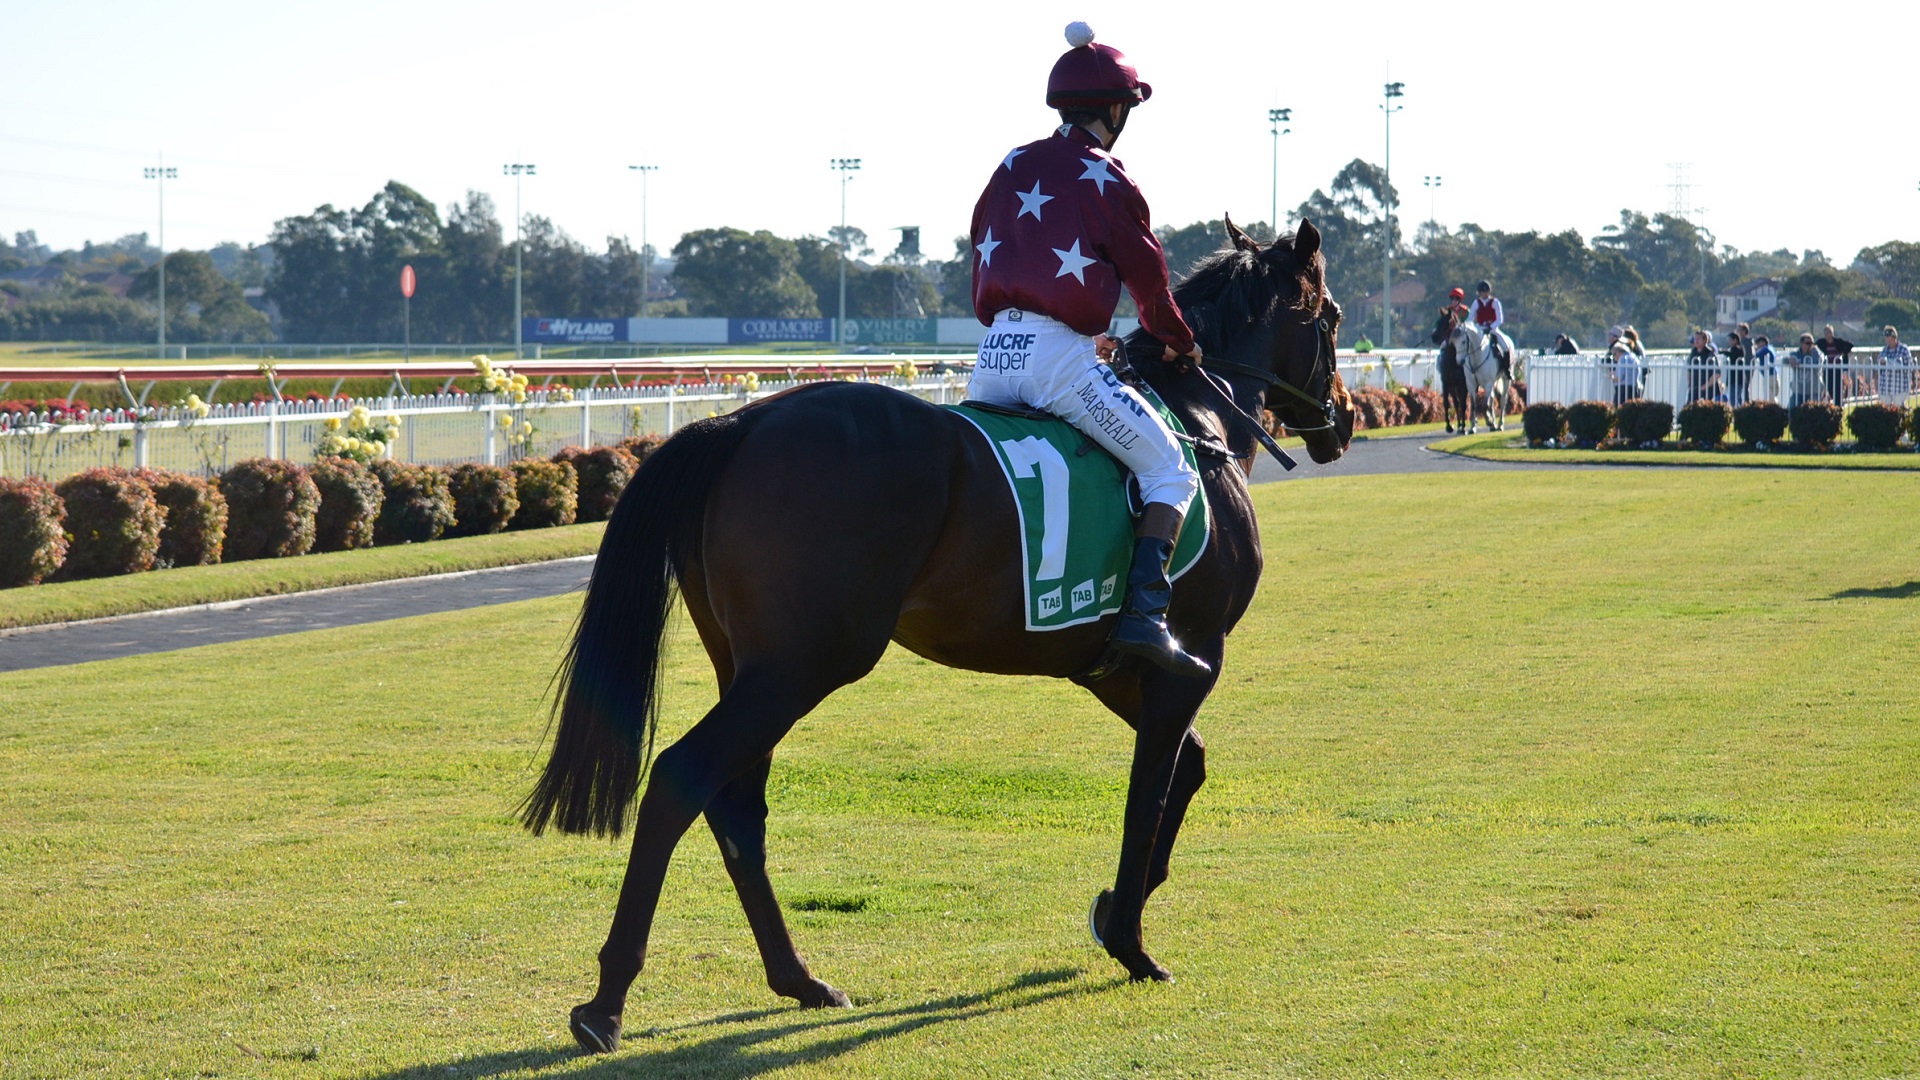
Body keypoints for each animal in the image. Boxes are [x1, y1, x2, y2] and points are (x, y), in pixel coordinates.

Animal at [518, 214, 1344, 1045]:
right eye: (1333, 318)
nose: (1338, 419)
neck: (1198, 427)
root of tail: (741, 420)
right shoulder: (1192, 657)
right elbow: (1148, 799)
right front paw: (1131, 943)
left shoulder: (1116, 667)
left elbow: (1187, 770)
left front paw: (1118, 906)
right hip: (800, 668)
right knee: (683, 778)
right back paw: (607, 1003)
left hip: (753, 670)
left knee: (737, 806)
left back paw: (799, 979)